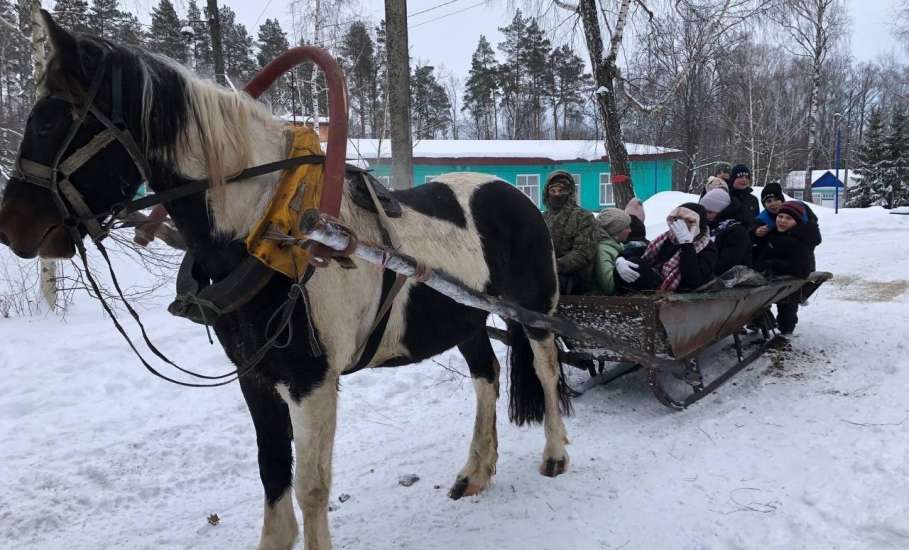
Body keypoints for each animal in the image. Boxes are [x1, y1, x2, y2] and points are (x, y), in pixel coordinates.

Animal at [0, 10, 568, 548]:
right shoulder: (255, 376)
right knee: (486, 375)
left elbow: (311, 486)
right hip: (463, 318)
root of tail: (516, 195)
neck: (271, 228)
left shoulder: (311, 380)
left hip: (535, 311)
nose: (12, 227)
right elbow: (272, 471)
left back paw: (556, 453)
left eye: (48, 123)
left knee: (545, 369)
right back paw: (476, 472)